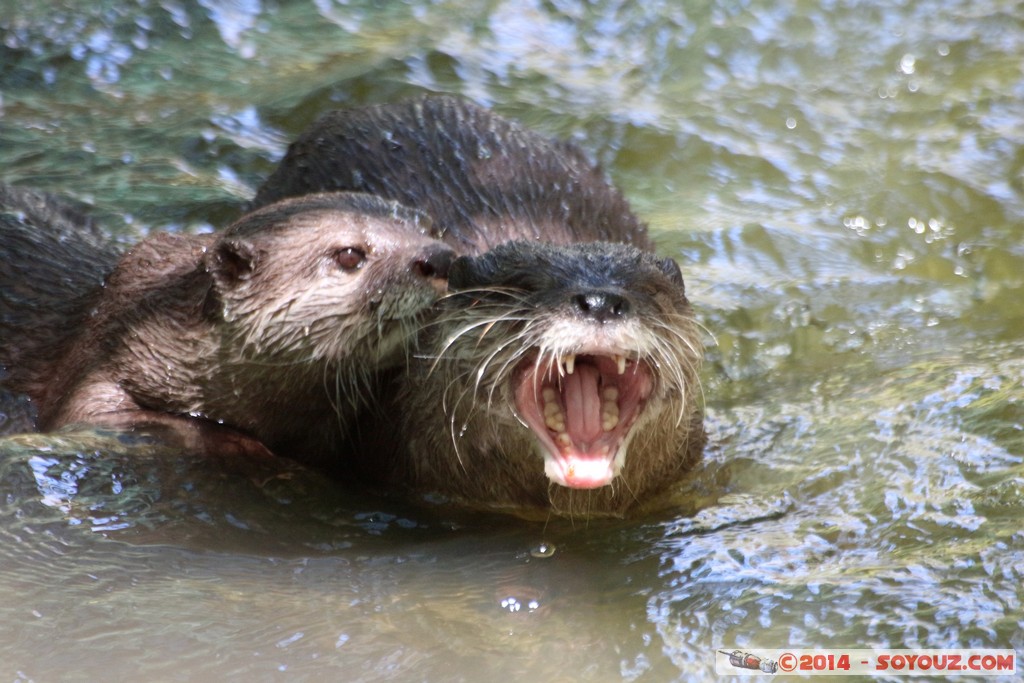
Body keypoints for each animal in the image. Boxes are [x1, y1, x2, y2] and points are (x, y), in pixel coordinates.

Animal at [0, 188, 456, 464]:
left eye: (433, 231)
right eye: (349, 254)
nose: (441, 258)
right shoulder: (98, 360)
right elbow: (93, 414)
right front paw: (242, 444)